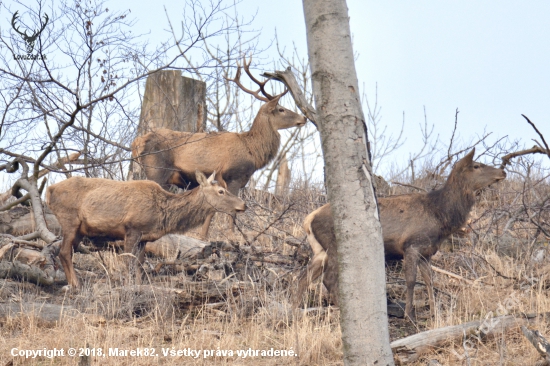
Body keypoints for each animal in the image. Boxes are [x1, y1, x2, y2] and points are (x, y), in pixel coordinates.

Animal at [46, 170, 245, 288]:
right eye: (221, 191)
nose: (243, 205)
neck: (162, 214)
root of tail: (49, 190)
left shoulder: (144, 238)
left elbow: (140, 264)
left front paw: (139, 285)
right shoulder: (131, 229)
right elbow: (128, 261)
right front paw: (128, 286)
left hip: (80, 229)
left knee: (65, 251)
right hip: (69, 219)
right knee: (64, 251)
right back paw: (76, 284)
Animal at [132, 57, 308, 240]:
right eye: (281, 109)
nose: (303, 117)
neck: (252, 150)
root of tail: (137, 143)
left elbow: (212, 209)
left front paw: (203, 235)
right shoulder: (233, 176)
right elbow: (231, 211)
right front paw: (232, 236)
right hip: (156, 170)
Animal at [298, 149, 508, 320]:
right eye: (476, 165)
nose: (503, 172)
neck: (441, 215)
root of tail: (308, 219)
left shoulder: (427, 252)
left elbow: (430, 281)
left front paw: (434, 312)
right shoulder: (411, 245)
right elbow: (411, 280)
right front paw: (409, 315)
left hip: (320, 250)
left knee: (302, 278)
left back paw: (295, 310)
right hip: (334, 245)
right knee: (327, 279)